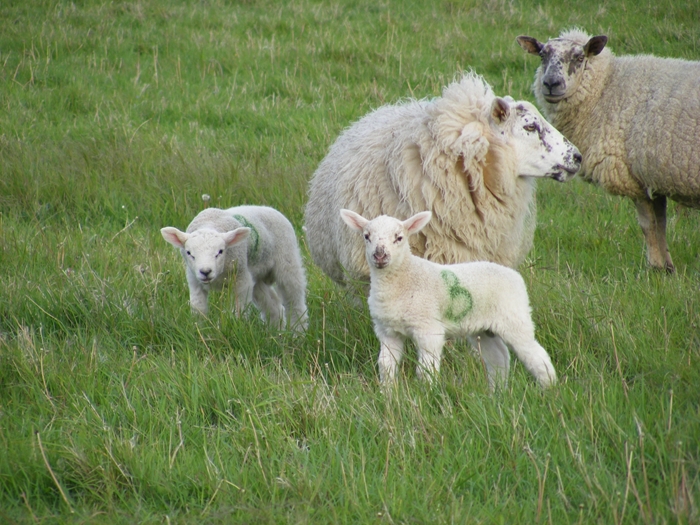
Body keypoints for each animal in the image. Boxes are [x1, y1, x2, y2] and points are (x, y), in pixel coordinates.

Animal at [161, 205, 308, 332]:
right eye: (189, 253)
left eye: (220, 251)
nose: (206, 272)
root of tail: (270, 208)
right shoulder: (194, 280)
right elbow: (198, 309)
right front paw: (200, 329)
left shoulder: (241, 279)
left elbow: (238, 309)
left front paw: (231, 326)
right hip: (255, 277)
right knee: (273, 305)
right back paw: (277, 332)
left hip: (287, 260)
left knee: (294, 301)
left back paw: (298, 332)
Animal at [340, 208, 557, 389]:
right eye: (366, 236)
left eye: (399, 237)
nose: (379, 255)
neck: (403, 278)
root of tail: (515, 276)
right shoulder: (387, 331)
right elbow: (386, 366)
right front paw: (388, 394)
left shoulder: (429, 329)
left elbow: (425, 370)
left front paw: (427, 394)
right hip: (484, 328)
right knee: (499, 357)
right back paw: (497, 392)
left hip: (514, 319)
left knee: (535, 355)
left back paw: (549, 388)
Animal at [517, 29, 700, 273]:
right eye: (542, 55)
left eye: (579, 57)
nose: (551, 83)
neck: (606, 88)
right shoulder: (652, 176)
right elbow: (660, 223)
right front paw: (667, 268)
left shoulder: (632, 177)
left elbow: (648, 225)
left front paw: (655, 266)